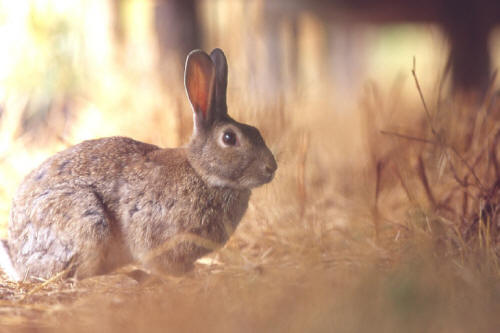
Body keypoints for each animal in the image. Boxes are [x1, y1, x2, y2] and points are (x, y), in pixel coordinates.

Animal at [0, 47, 278, 280]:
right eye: (229, 138)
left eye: (256, 131)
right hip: (85, 221)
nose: (271, 168)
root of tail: (17, 258)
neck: (202, 172)